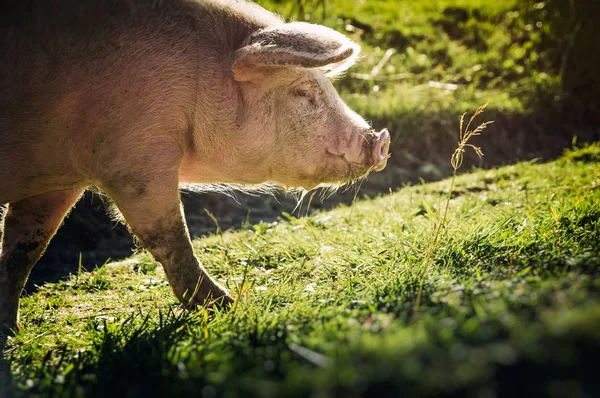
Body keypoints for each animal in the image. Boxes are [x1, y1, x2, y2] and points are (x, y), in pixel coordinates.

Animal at [0, 0, 390, 334]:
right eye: (303, 92)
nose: (381, 140)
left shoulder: (60, 182)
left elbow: (27, 243)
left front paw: (12, 330)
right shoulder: (136, 157)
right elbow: (169, 236)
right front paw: (231, 306)